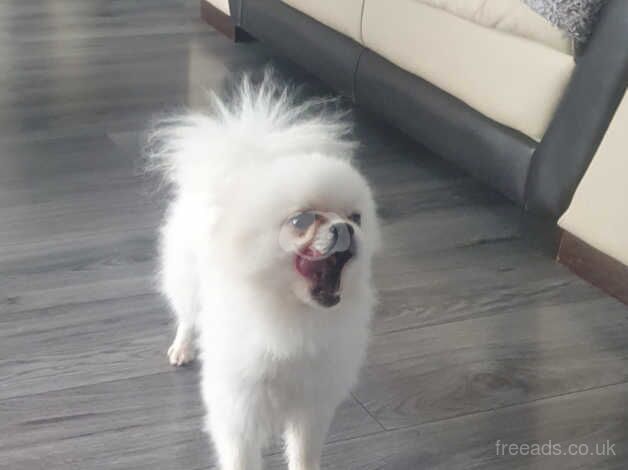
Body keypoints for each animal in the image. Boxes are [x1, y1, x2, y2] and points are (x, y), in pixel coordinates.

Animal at [150, 73, 380, 470]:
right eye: (301, 221)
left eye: (356, 217)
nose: (345, 228)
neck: (293, 317)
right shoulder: (239, 411)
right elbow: (241, 458)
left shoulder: (311, 406)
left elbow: (304, 455)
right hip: (186, 279)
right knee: (187, 315)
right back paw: (182, 347)